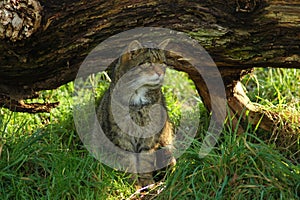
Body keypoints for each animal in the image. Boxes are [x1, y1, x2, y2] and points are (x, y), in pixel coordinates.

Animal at [96, 39, 176, 188]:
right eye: (147, 63)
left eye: (162, 63)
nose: (161, 73)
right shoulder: (122, 137)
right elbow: (128, 161)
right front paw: (134, 184)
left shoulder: (149, 136)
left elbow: (145, 160)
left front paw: (146, 182)